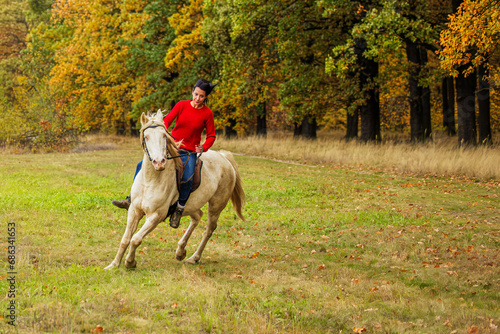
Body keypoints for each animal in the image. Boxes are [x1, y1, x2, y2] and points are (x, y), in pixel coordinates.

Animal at [106, 109, 246, 268]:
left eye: (163, 135)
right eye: (146, 137)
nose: (159, 162)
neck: (150, 180)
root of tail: (224, 157)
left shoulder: (156, 216)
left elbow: (135, 238)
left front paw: (130, 262)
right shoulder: (134, 210)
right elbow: (125, 238)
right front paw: (113, 265)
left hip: (216, 206)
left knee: (208, 230)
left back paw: (194, 257)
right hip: (192, 205)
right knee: (197, 216)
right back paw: (180, 251)